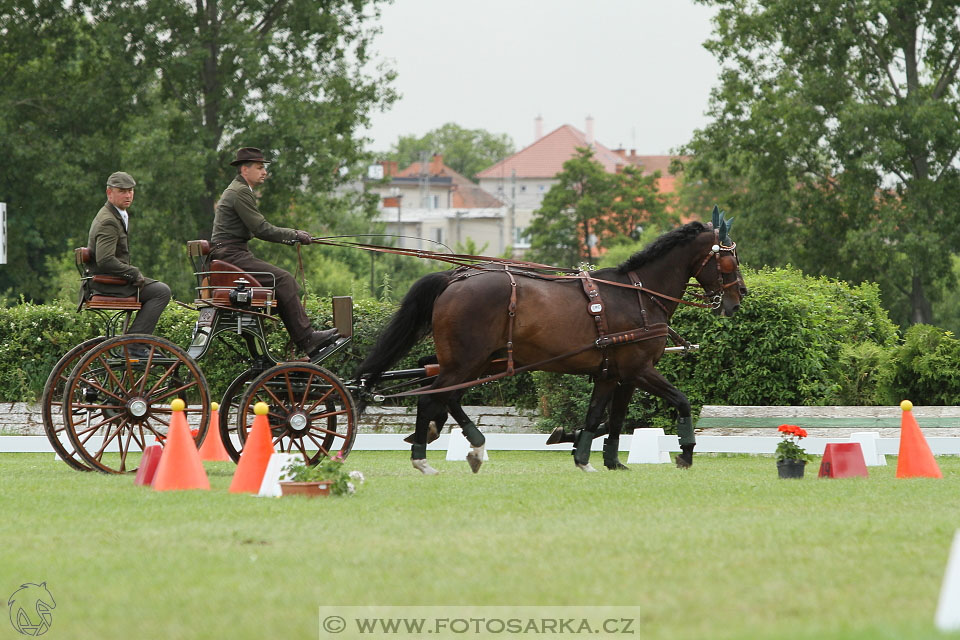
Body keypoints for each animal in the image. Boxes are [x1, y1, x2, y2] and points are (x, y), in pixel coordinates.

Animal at [356, 212, 748, 472]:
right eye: (729, 258)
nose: (738, 297)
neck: (639, 295)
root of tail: (456, 278)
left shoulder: (616, 375)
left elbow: (606, 418)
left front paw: (596, 458)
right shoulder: (639, 370)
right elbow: (680, 402)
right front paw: (685, 453)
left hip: (476, 362)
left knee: (447, 398)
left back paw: (470, 442)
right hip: (465, 361)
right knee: (432, 399)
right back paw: (424, 457)